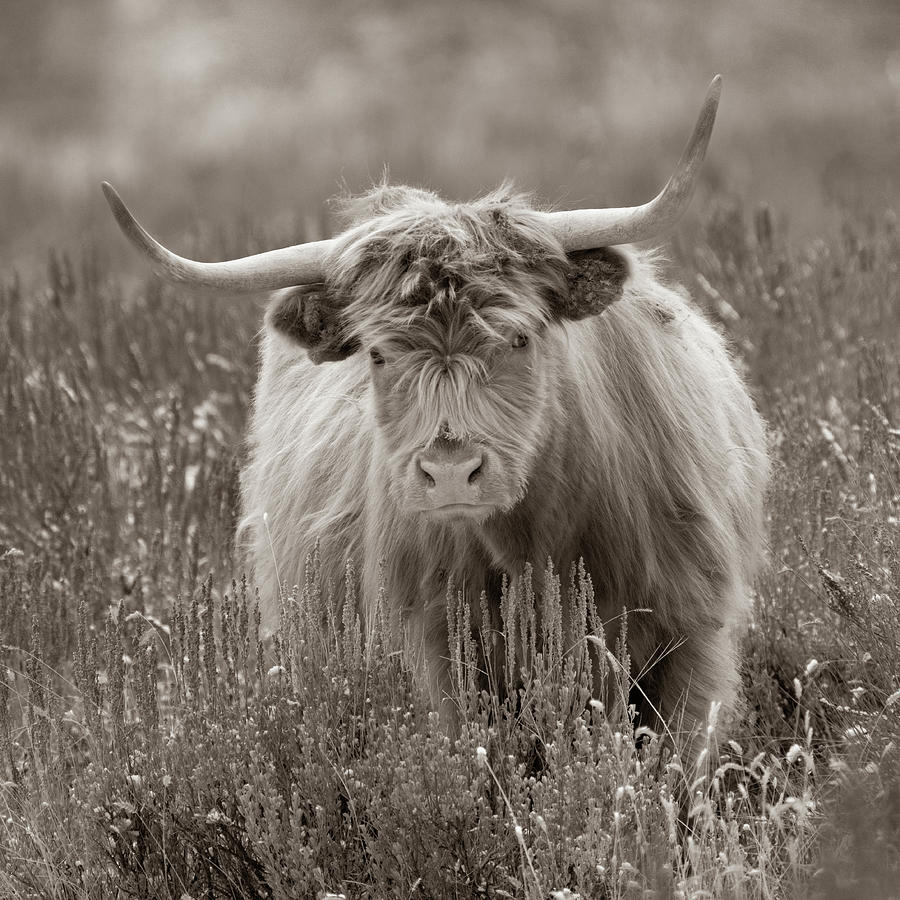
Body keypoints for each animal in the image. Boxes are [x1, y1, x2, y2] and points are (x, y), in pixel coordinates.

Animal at [103, 74, 768, 740]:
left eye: (519, 338)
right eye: (377, 354)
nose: (450, 471)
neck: (535, 545)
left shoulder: (691, 635)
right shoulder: (437, 652)